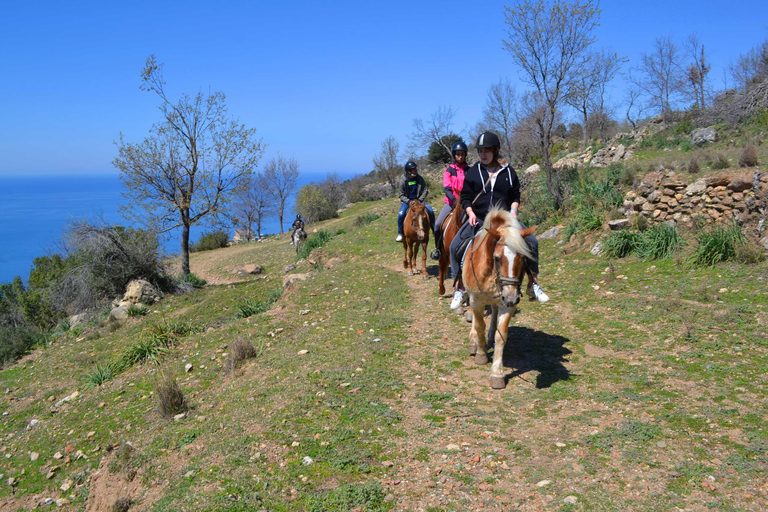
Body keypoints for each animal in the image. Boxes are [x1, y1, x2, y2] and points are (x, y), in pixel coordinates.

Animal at [462, 207, 537, 389]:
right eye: (497, 258)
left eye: (523, 258)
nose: (511, 297)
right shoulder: (477, 301)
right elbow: (479, 325)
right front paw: (481, 353)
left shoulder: (507, 305)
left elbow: (500, 335)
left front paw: (497, 373)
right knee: (475, 319)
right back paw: (474, 342)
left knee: (494, 313)